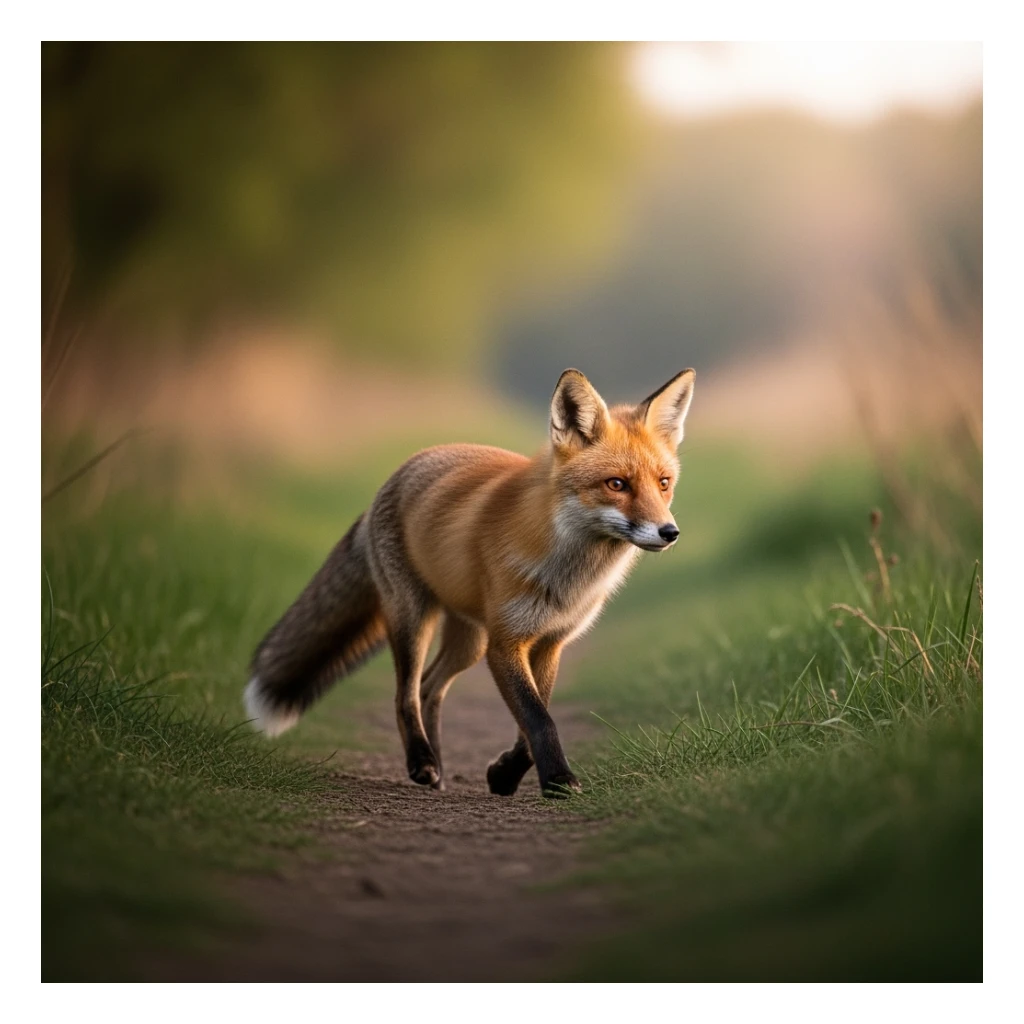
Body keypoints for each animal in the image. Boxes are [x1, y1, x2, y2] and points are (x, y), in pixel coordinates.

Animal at [244, 367, 695, 797]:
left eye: (663, 483)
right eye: (616, 484)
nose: (669, 532)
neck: (568, 576)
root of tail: (396, 475)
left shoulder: (550, 642)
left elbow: (532, 724)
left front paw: (505, 775)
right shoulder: (506, 642)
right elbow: (538, 719)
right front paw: (557, 780)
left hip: (469, 639)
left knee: (429, 689)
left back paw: (438, 770)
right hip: (415, 620)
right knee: (406, 694)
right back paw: (422, 763)